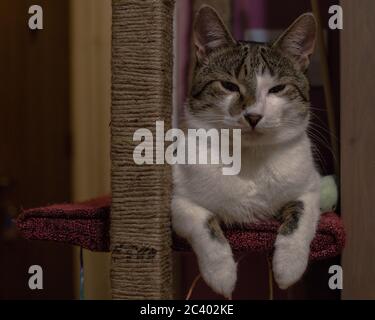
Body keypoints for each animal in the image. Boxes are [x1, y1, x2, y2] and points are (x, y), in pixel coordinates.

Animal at [172, 5, 322, 298]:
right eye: (229, 86)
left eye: (277, 88)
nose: (253, 116)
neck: (249, 156)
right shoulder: (178, 198)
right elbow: (204, 221)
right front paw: (221, 274)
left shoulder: (310, 187)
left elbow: (300, 218)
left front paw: (289, 266)